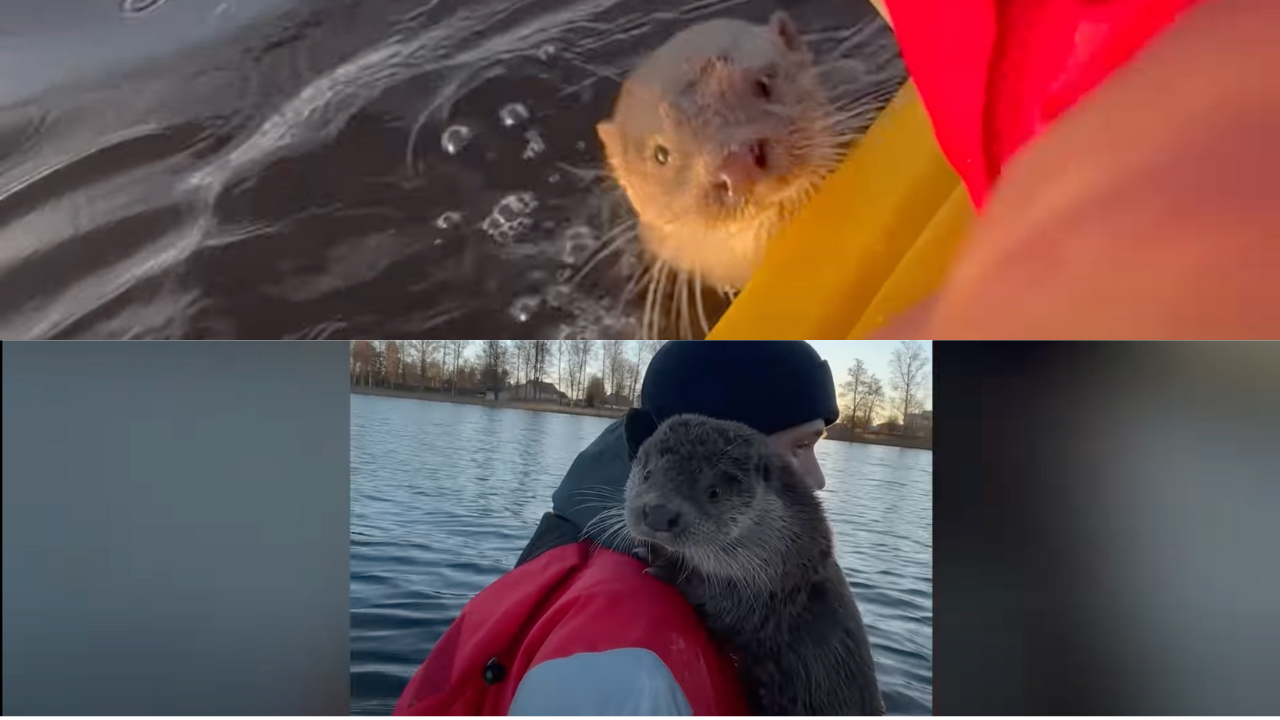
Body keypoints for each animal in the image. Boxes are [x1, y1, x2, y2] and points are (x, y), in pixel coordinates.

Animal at [624, 414, 885, 715]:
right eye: (647, 473)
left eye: (714, 492)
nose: (658, 513)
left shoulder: (771, 599)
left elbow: (725, 606)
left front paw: (664, 562)